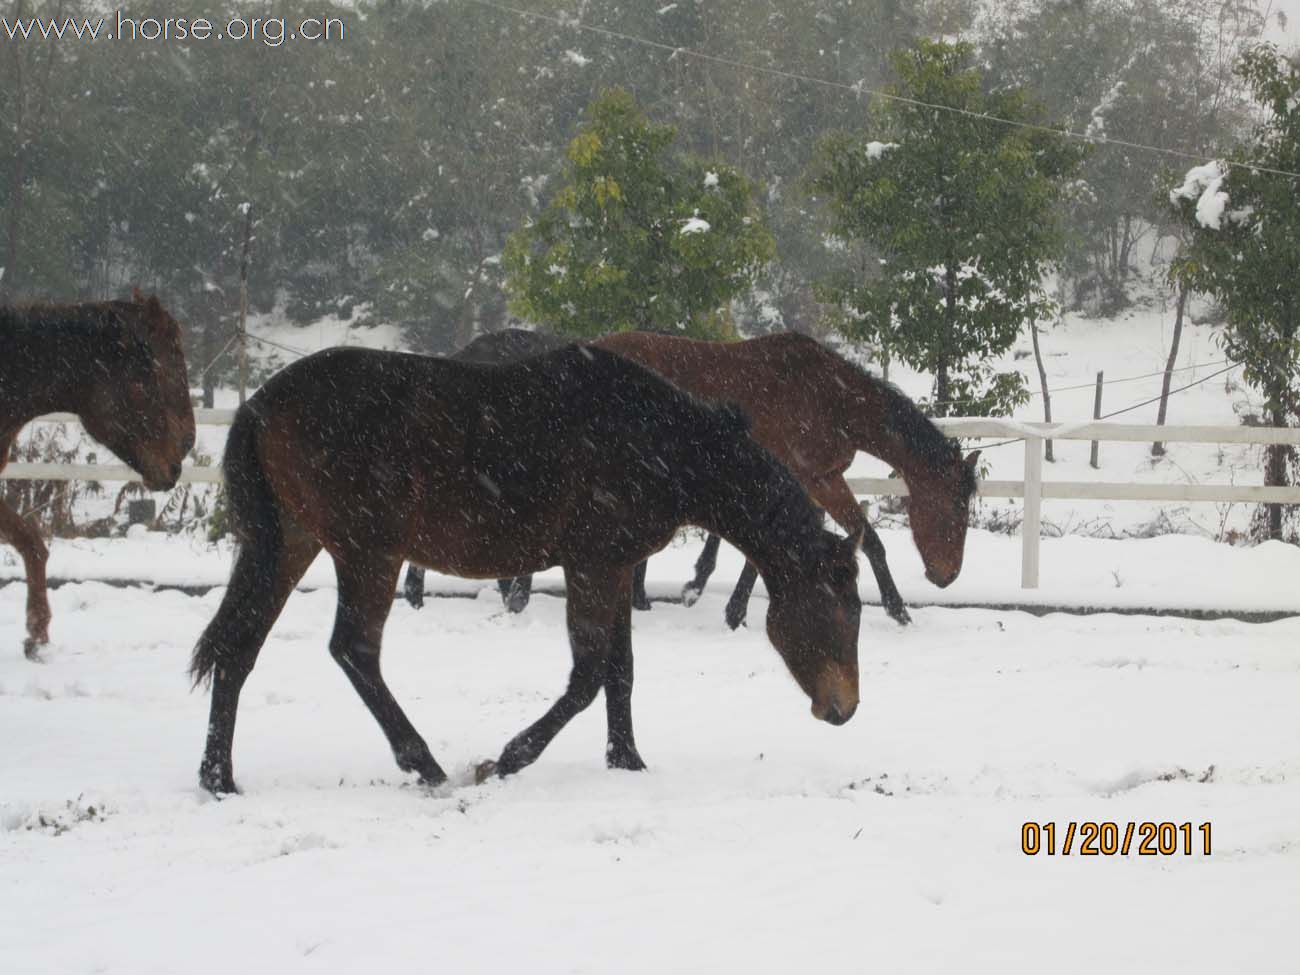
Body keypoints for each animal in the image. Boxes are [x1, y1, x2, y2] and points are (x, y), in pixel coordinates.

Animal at [189, 343, 863, 795]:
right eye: (837, 609)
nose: (844, 710)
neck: (661, 442)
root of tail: (258, 405)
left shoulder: (616, 569)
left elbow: (620, 672)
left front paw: (627, 761)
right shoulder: (593, 565)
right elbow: (588, 678)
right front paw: (506, 759)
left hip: (289, 545)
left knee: (239, 648)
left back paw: (219, 777)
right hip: (368, 553)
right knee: (353, 650)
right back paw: (425, 763)